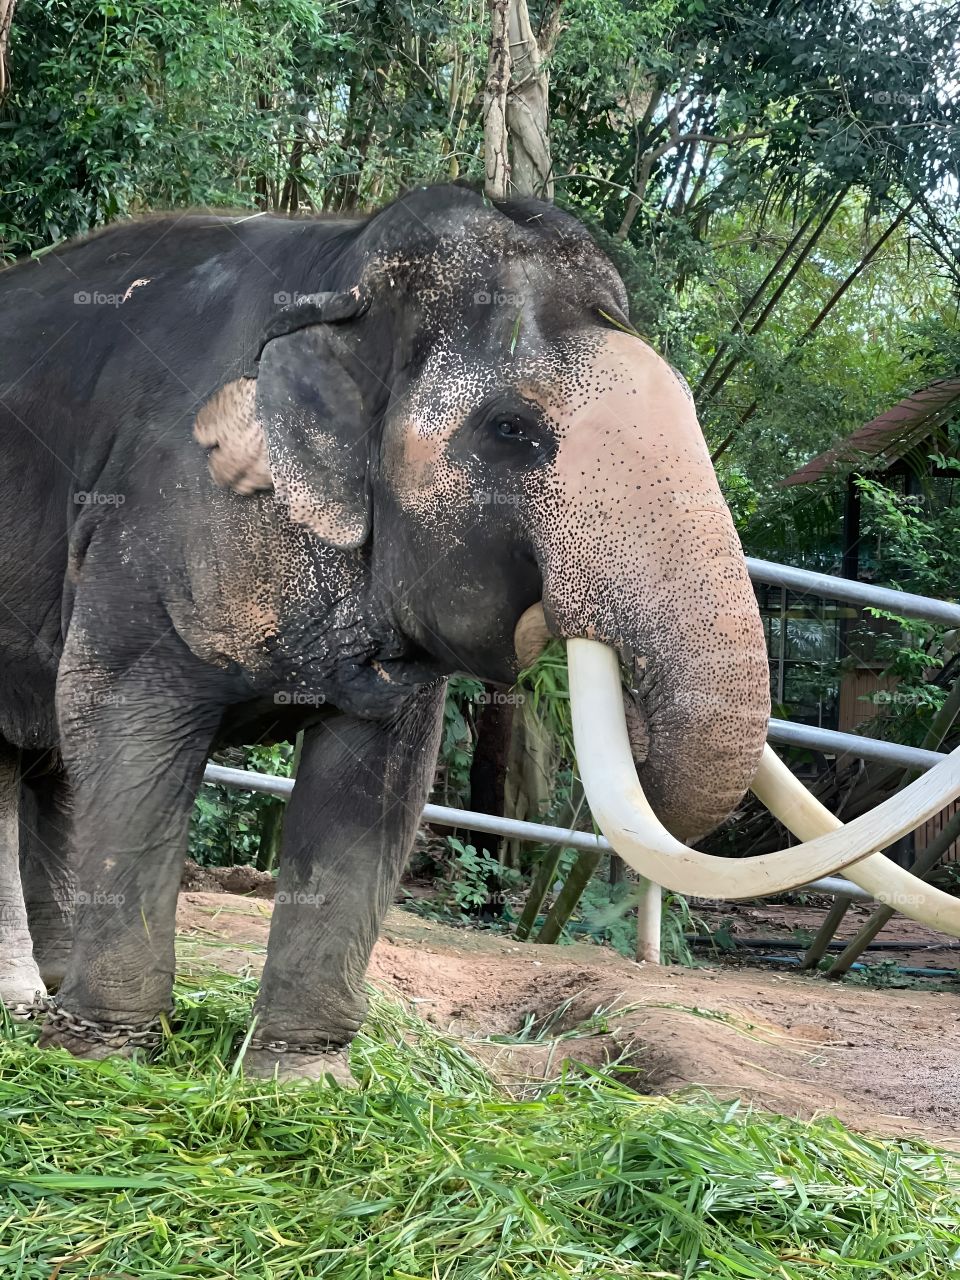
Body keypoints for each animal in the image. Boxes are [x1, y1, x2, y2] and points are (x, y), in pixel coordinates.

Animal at [1, 183, 954, 1081]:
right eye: (512, 430)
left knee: (44, 770)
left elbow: (376, 783)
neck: (346, 264)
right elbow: (127, 727)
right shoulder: (152, 523)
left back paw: (43, 1000)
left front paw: (304, 1081)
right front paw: (109, 1060)